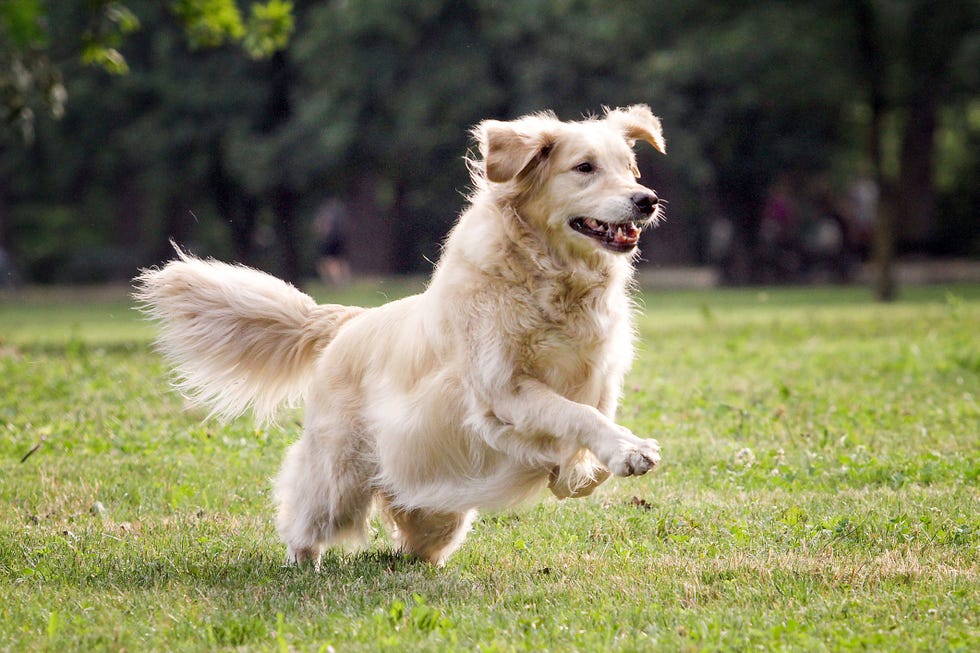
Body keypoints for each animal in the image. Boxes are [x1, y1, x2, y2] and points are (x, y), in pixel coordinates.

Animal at [136, 104, 668, 564]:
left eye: (630, 169)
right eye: (584, 167)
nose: (647, 200)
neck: (552, 279)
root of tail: (350, 321)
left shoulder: (600, 378)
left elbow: (587, 435)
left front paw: (581, 471)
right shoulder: (504, 391)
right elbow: (576, 415)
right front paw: (627, 451)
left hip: (436, 511)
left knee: (418, 536)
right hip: (339, 478)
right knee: (304, 512)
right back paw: (302, 562)